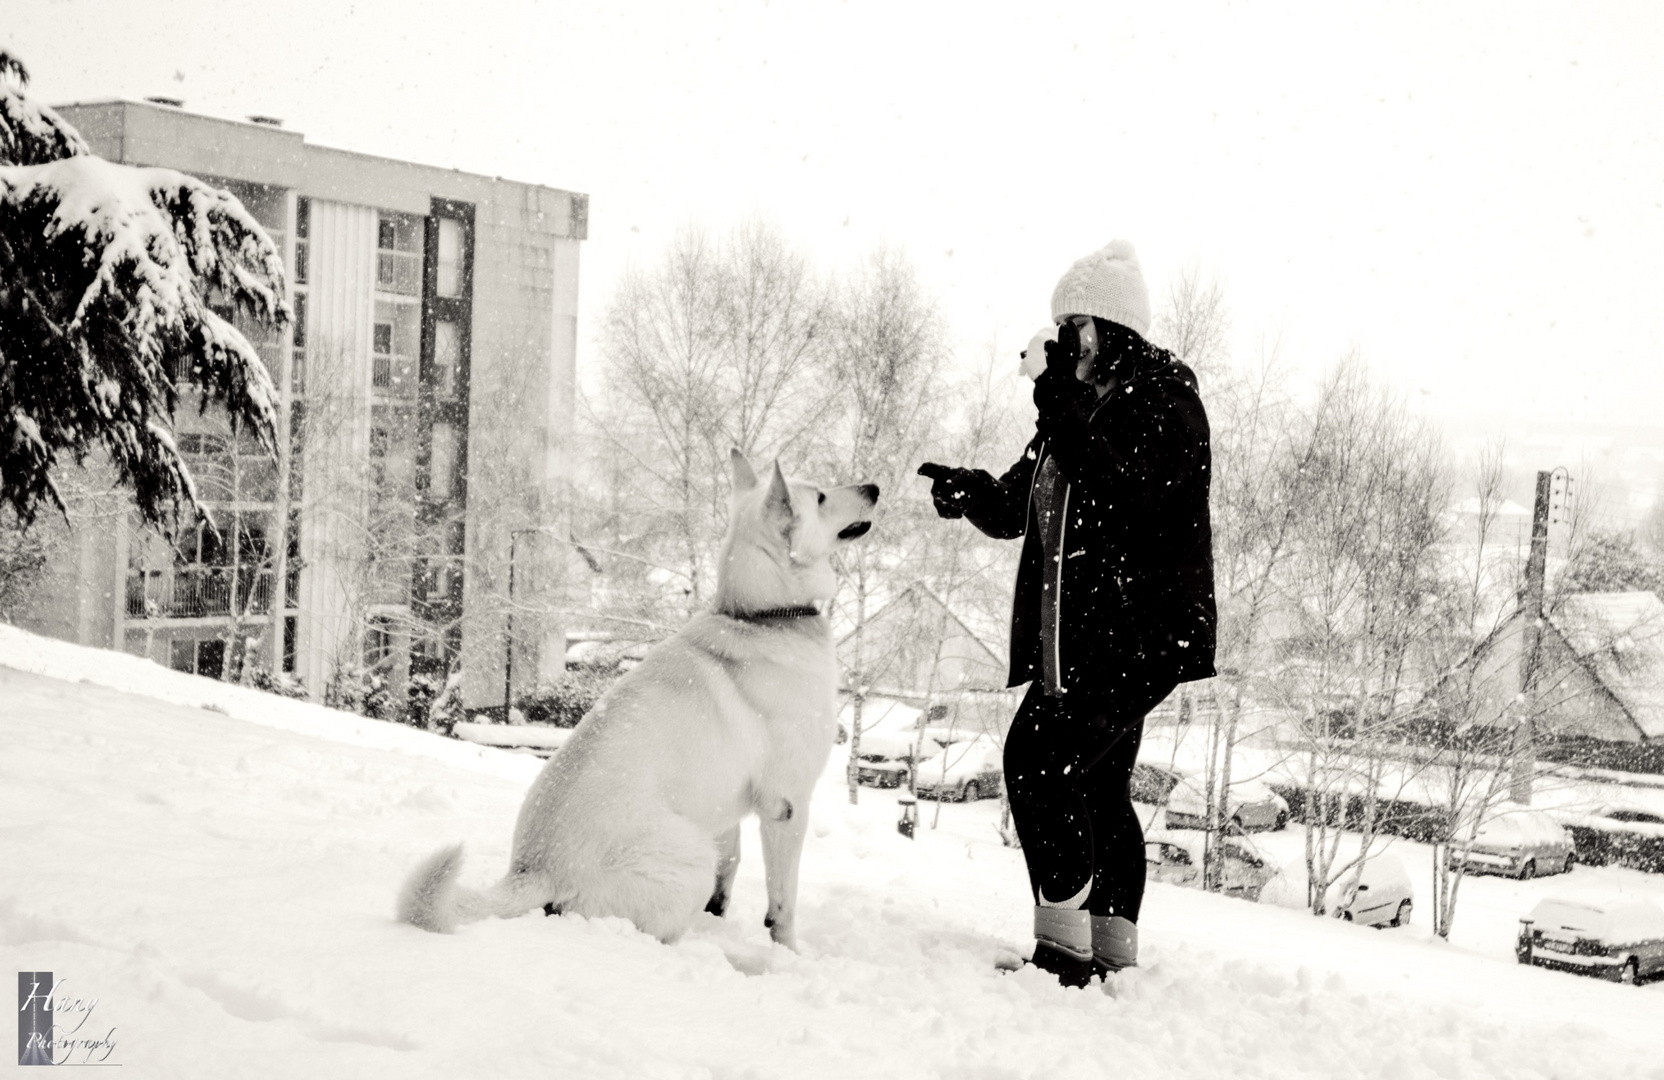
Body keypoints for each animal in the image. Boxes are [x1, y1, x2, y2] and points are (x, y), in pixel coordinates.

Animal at [397, 449, 878, 945]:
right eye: (820, 497)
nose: (875, 488)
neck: (762, 615)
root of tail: (535, 868)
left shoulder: (724, 809)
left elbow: (730, 870)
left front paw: (720, 918)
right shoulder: (787, 805)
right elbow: (783, 903)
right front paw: (787, 950)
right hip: (690, 857)